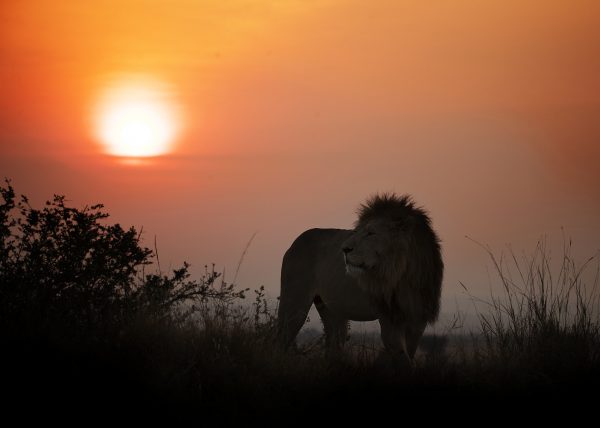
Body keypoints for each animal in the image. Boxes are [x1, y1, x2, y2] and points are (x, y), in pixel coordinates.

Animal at [276, 194, 440, 364]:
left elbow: (409, 353)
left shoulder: (418, 317)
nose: (344, 249)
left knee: (333, 346)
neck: (404, 276)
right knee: (280, 339)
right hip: (294, 304)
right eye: (356, 231)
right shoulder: (389, 318)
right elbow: (402, 357)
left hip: (333, 310)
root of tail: (295, 242)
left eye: (371, 233)